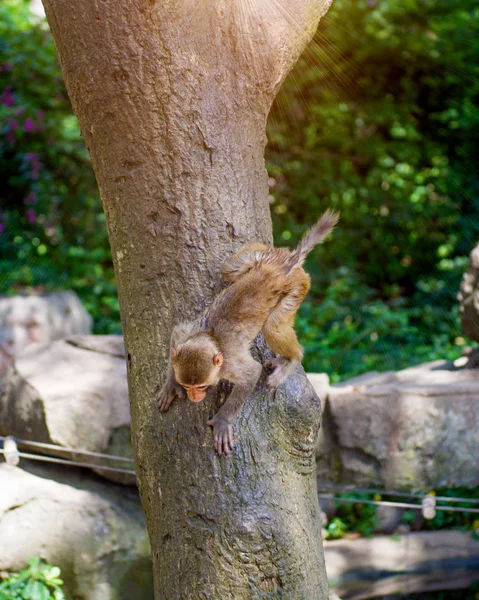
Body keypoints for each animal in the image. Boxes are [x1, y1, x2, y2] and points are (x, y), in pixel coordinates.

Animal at [156, 210, 340, 454]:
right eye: (188, 386)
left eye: (201, 386)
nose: (194, 397)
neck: (211, 338)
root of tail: (284, 265)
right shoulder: (186, 335)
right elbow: (176, 333)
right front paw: (171, 383)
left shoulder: (229, 365)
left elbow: (252, 373)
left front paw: (223, 420)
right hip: (262, 257)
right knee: (228, 267)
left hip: (297, 285)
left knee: (272, 327)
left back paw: (291, 360)